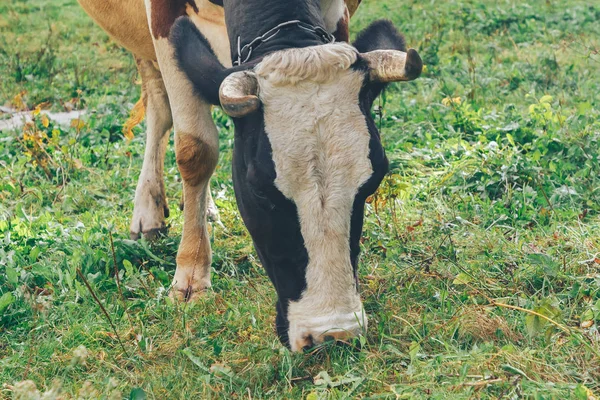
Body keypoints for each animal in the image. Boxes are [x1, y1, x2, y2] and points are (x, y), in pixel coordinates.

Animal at [76, 0, 422, 350]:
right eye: (259, 190)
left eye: (373, 182)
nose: (333, 334)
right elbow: (196, 149)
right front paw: (190, 277)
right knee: (158, 99)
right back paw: (149, 211)